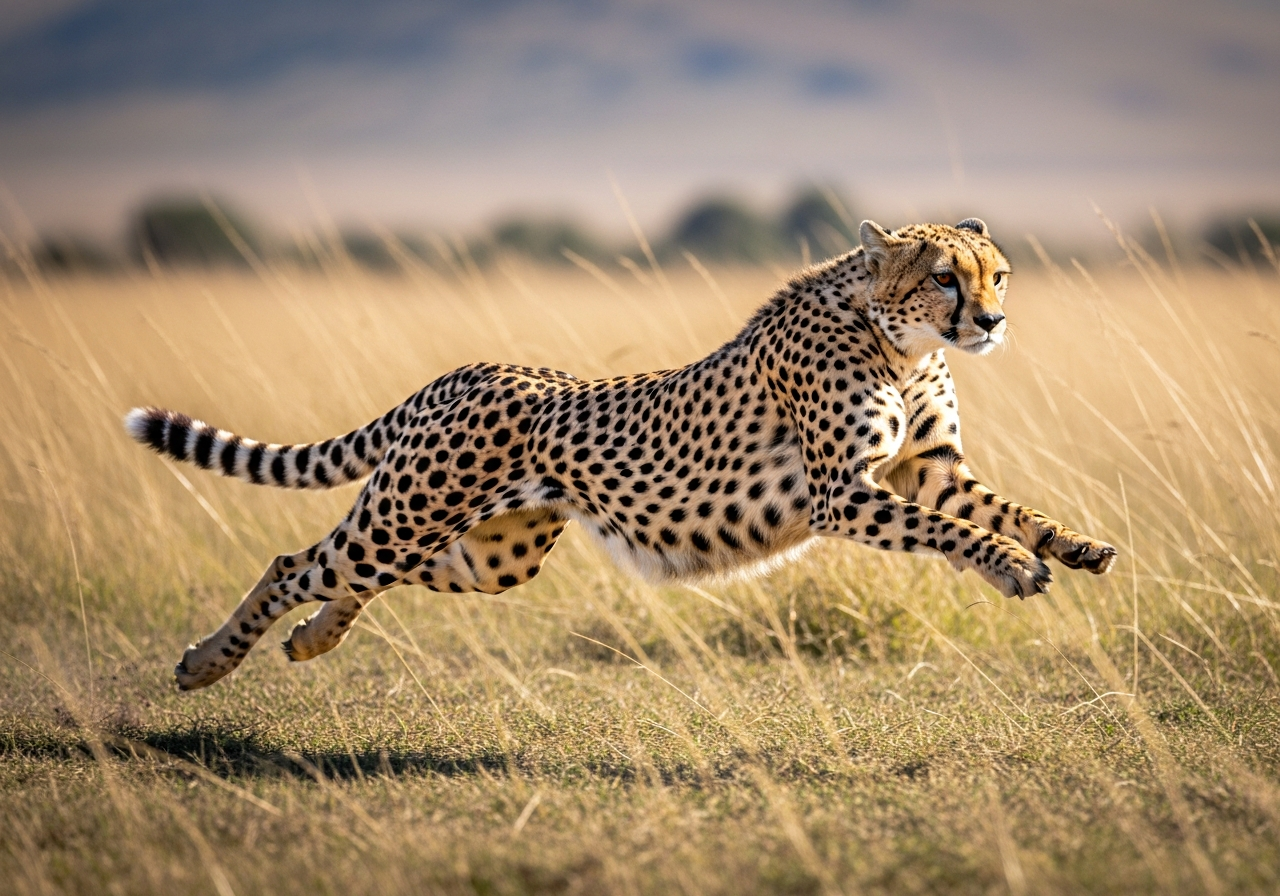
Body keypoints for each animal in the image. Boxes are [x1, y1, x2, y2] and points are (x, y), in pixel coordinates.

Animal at [125, 217, 1117, 691]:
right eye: (946, 277)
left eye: (999, 275)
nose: (991, 322)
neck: (899, 343)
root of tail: (468, 369)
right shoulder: (844, 491)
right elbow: (954, 532)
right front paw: (1010, 568)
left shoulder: (929, 467)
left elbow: (1004, 507)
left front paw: (1074, 544)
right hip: (410, 515)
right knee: (296, 560)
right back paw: (208, 662)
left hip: (492, 554)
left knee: (355, 575)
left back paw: (313, 638)